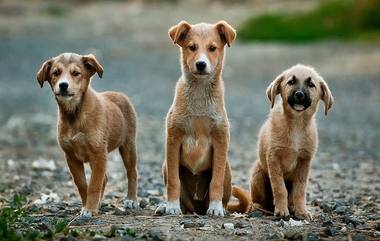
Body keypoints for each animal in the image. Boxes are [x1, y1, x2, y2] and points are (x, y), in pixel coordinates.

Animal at [36, 53, 138, 218]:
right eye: (56, 73)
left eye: (76, 73)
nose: (63, 85)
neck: (74, 115)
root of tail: (120, 94)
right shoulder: (71, 156)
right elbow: (83, 184)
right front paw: (87, 206)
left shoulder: (99, 154)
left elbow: (94, 184)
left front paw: (90, 208)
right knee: (105, 178)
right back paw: (99, 203)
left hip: (128, 146)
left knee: (132, 172)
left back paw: (131, 199)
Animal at [156, 20, 236, 217]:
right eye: (191, 47)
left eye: (212, 48)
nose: (201, 64)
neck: (199, 93)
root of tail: (197, 207)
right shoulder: (173, 139)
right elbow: (174, 182)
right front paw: (172, 206)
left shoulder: (221, 140)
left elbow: (215, 181)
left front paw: (215, 207)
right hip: (165, 166)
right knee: (183, 200)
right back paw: (166, 206)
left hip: (227, 168)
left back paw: (220, 207)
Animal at [229, 64, 332, 220]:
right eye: (291, 82)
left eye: (311, 84)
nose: (299, 95)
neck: (296, 125)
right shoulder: (274, 159)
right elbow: (279, 188)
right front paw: (282, 211)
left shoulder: (304, 162)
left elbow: (300, 190)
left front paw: (301, 211)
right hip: (258, 173)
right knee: (257, 201)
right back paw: (259, 208)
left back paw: (292, 207)